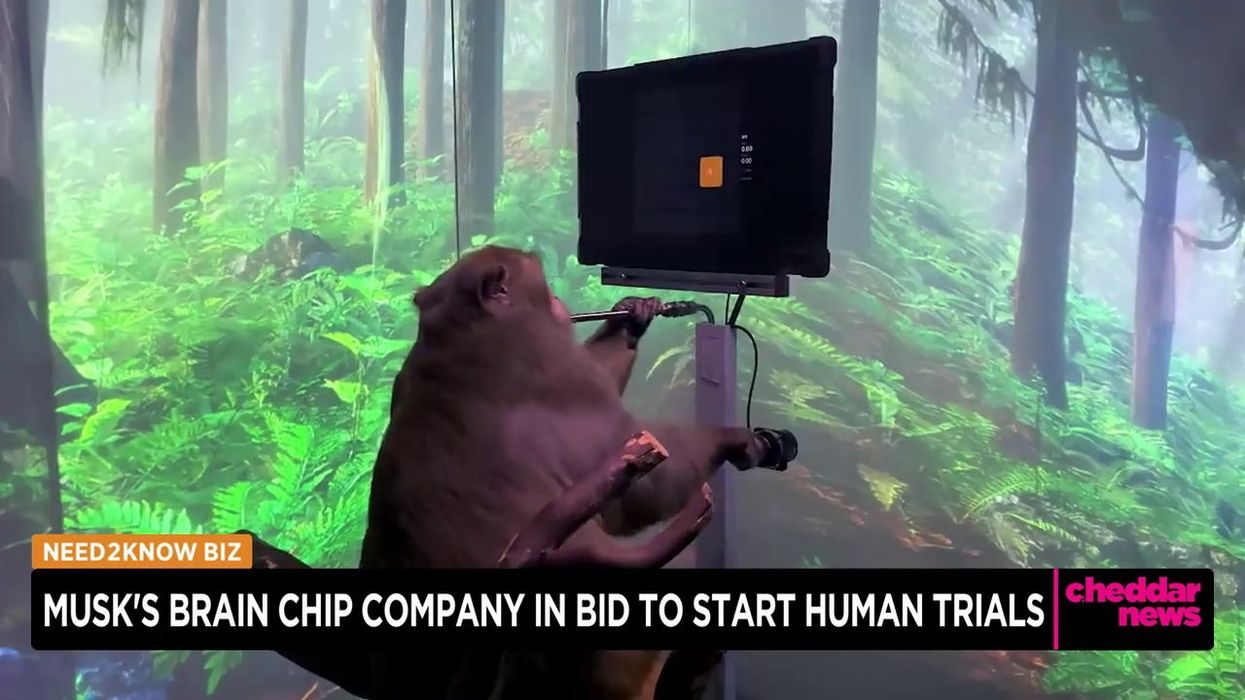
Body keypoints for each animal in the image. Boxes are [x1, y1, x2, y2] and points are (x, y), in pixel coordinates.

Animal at [359, 245, 796, 699]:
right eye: (543, 287)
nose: (560, 303)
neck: (456, 334)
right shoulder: (558, 373)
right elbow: (643, 480)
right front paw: (736, 440)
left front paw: (633, 315)